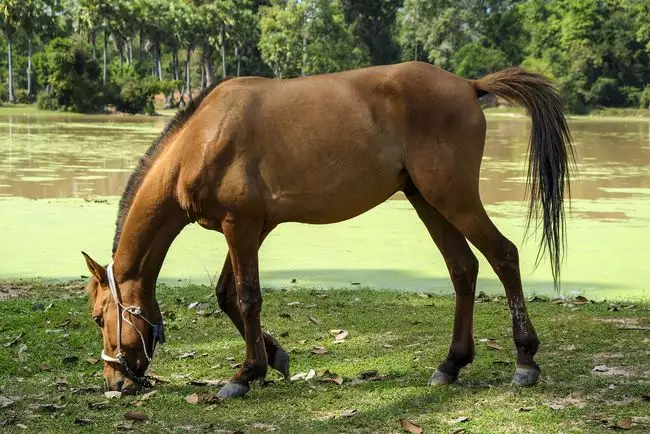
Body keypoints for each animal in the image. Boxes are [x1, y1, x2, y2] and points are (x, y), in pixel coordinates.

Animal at [82, 62, 572, 398]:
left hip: (454, 198)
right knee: (463, 268)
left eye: (98, 317)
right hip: (428, 202)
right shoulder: (252, 228)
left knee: (503, 255)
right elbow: (226, 295)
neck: (202, 138)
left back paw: (525, 360)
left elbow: (246, 296)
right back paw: (451, 363)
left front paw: (245, 374)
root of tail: (469, 86)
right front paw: (273, 357)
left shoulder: (240, 226)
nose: (112, 381)